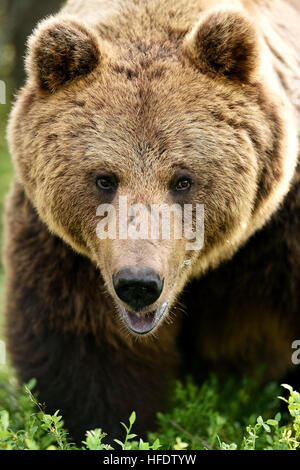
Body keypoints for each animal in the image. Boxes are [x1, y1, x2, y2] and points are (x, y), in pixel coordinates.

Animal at [3, 0, 300, 440]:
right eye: (104, 178)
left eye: (183, 179)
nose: (139, 283)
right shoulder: (65, 251)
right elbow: (85, 351)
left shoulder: (282, 229)